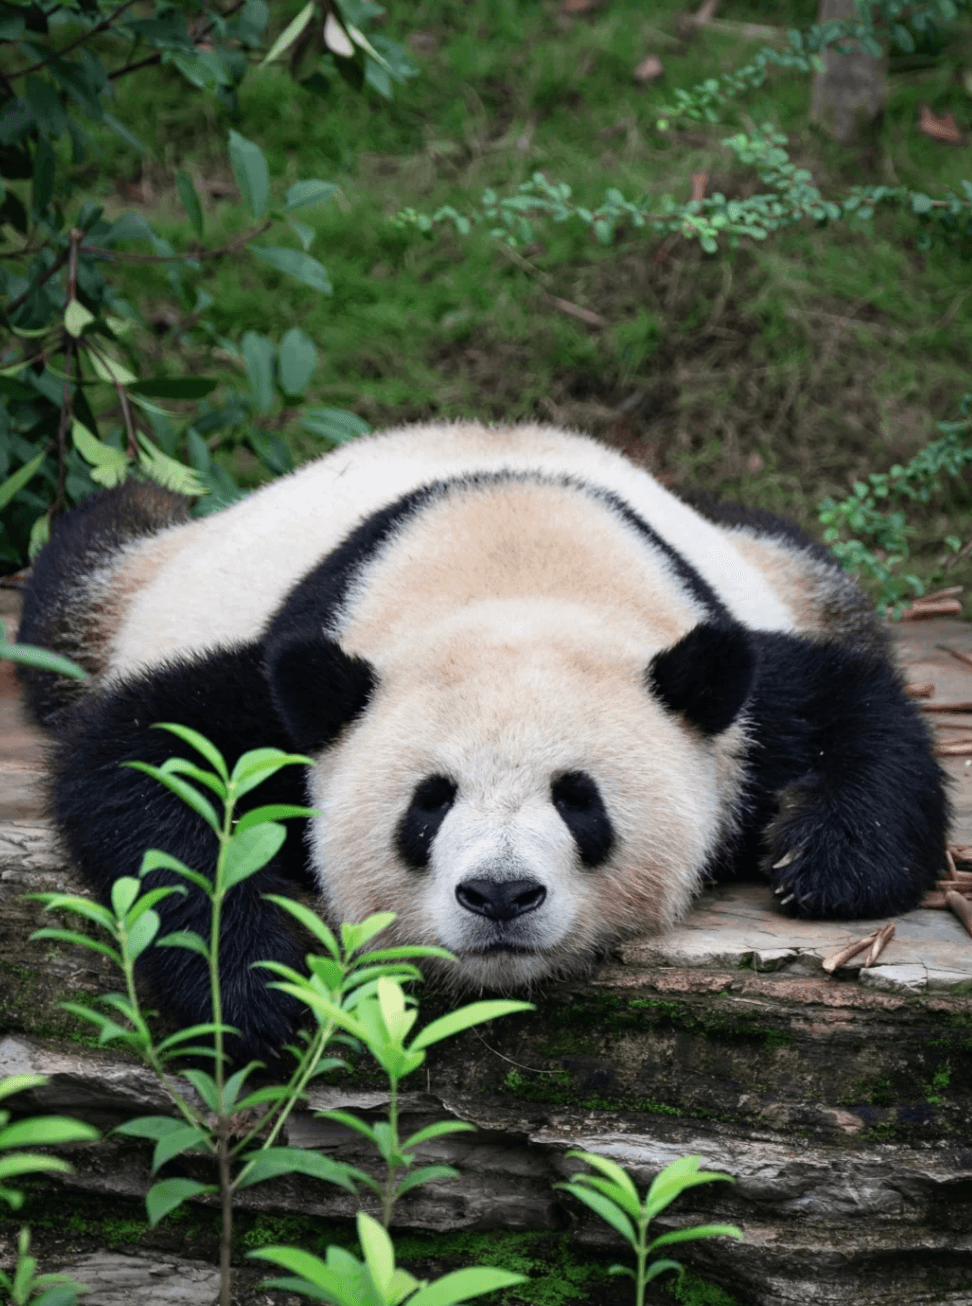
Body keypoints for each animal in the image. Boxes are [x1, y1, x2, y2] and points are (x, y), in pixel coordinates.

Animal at [18, 420, 947, 1059]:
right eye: (428, 804)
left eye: (579, 800)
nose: (500, 895)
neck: (509, 556)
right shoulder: (305, 680)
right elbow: (144, 755)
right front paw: (257, 990)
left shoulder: (723, 681)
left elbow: (854, 704)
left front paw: (819, 860)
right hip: (125, 593)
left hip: (785, 568)